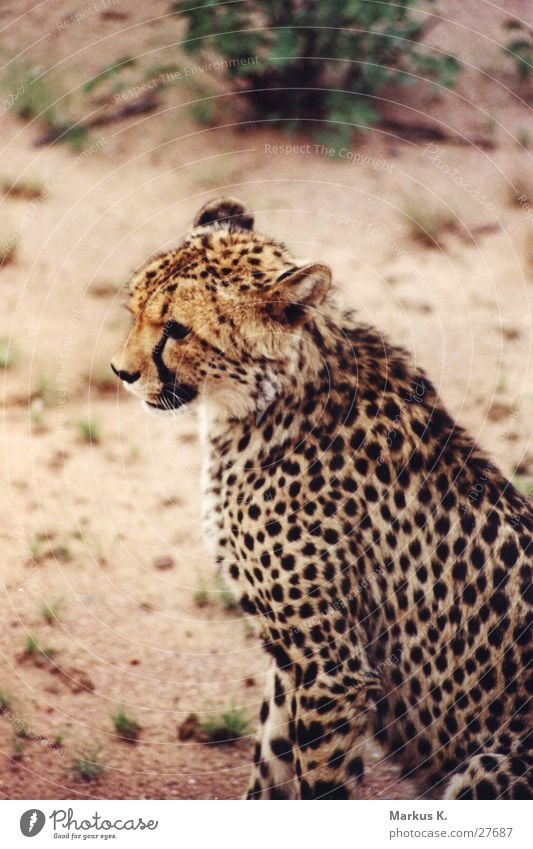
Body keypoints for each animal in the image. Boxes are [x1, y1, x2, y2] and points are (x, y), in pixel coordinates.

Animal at [110, 197, 528, 796]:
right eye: (134, 311)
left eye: (176, 328)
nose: (121, 373)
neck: (272, 398)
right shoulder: (295, 663)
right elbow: (273, 764)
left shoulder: (331, 669)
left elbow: (319, 783)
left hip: (489, 767)